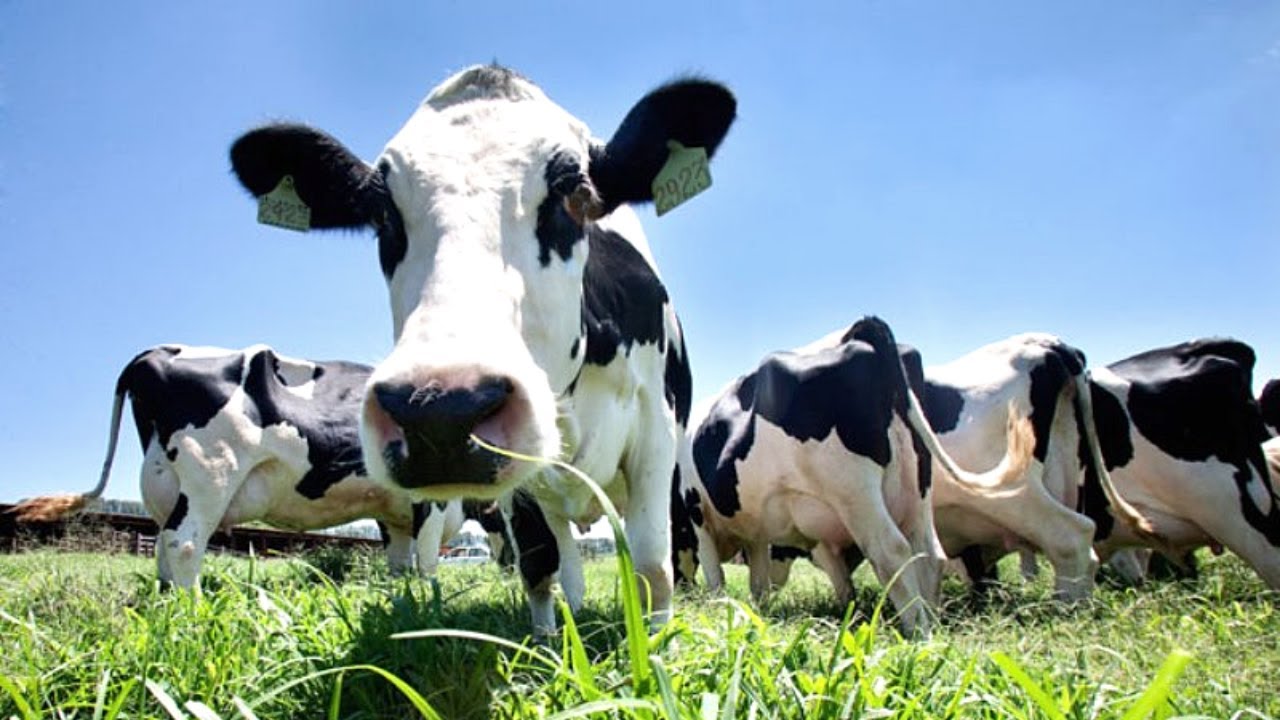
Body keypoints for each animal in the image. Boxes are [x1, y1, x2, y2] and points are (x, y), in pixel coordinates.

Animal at [14, 344, 465, 585]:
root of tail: (155, 353)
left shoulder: (393, 512)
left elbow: (400, 561)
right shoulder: (431, 499)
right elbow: (428, 560)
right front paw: (430, 604)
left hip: (165, 479)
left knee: (162, 541)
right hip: (211, 472)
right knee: (183, 541)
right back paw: (191, 611)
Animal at [229, 64, 736, 634]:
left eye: (573, 193)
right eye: (383, 214)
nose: (438, 413)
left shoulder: (655, 432)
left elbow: (652, 562)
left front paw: (656, 644)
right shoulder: (519, 481)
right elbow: (538, 562)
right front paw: (546, 645)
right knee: (567, 554)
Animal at [682, 316, 1037, 636]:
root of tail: (862, 332)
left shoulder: (698, 515)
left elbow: (716, 577)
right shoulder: (755, 531)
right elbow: (759, 581)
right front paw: (757, 611)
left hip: (853, 492)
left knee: (892, 550)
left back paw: (917, 632)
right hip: (918, 485)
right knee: (928, 553)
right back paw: (933, 626)